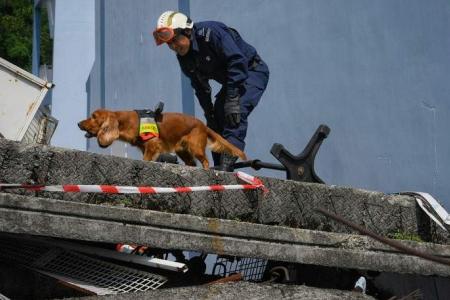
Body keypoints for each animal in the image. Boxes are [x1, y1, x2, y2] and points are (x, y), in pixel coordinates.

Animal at [77, 108, 246, 169]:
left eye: (93, 117)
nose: (78, 123)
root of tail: (203, 125)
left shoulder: (152, 145)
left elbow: (146, 158)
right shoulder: (144, 147)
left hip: (195, 146)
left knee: (204, 161)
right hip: (183, 151)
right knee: (192, 162)